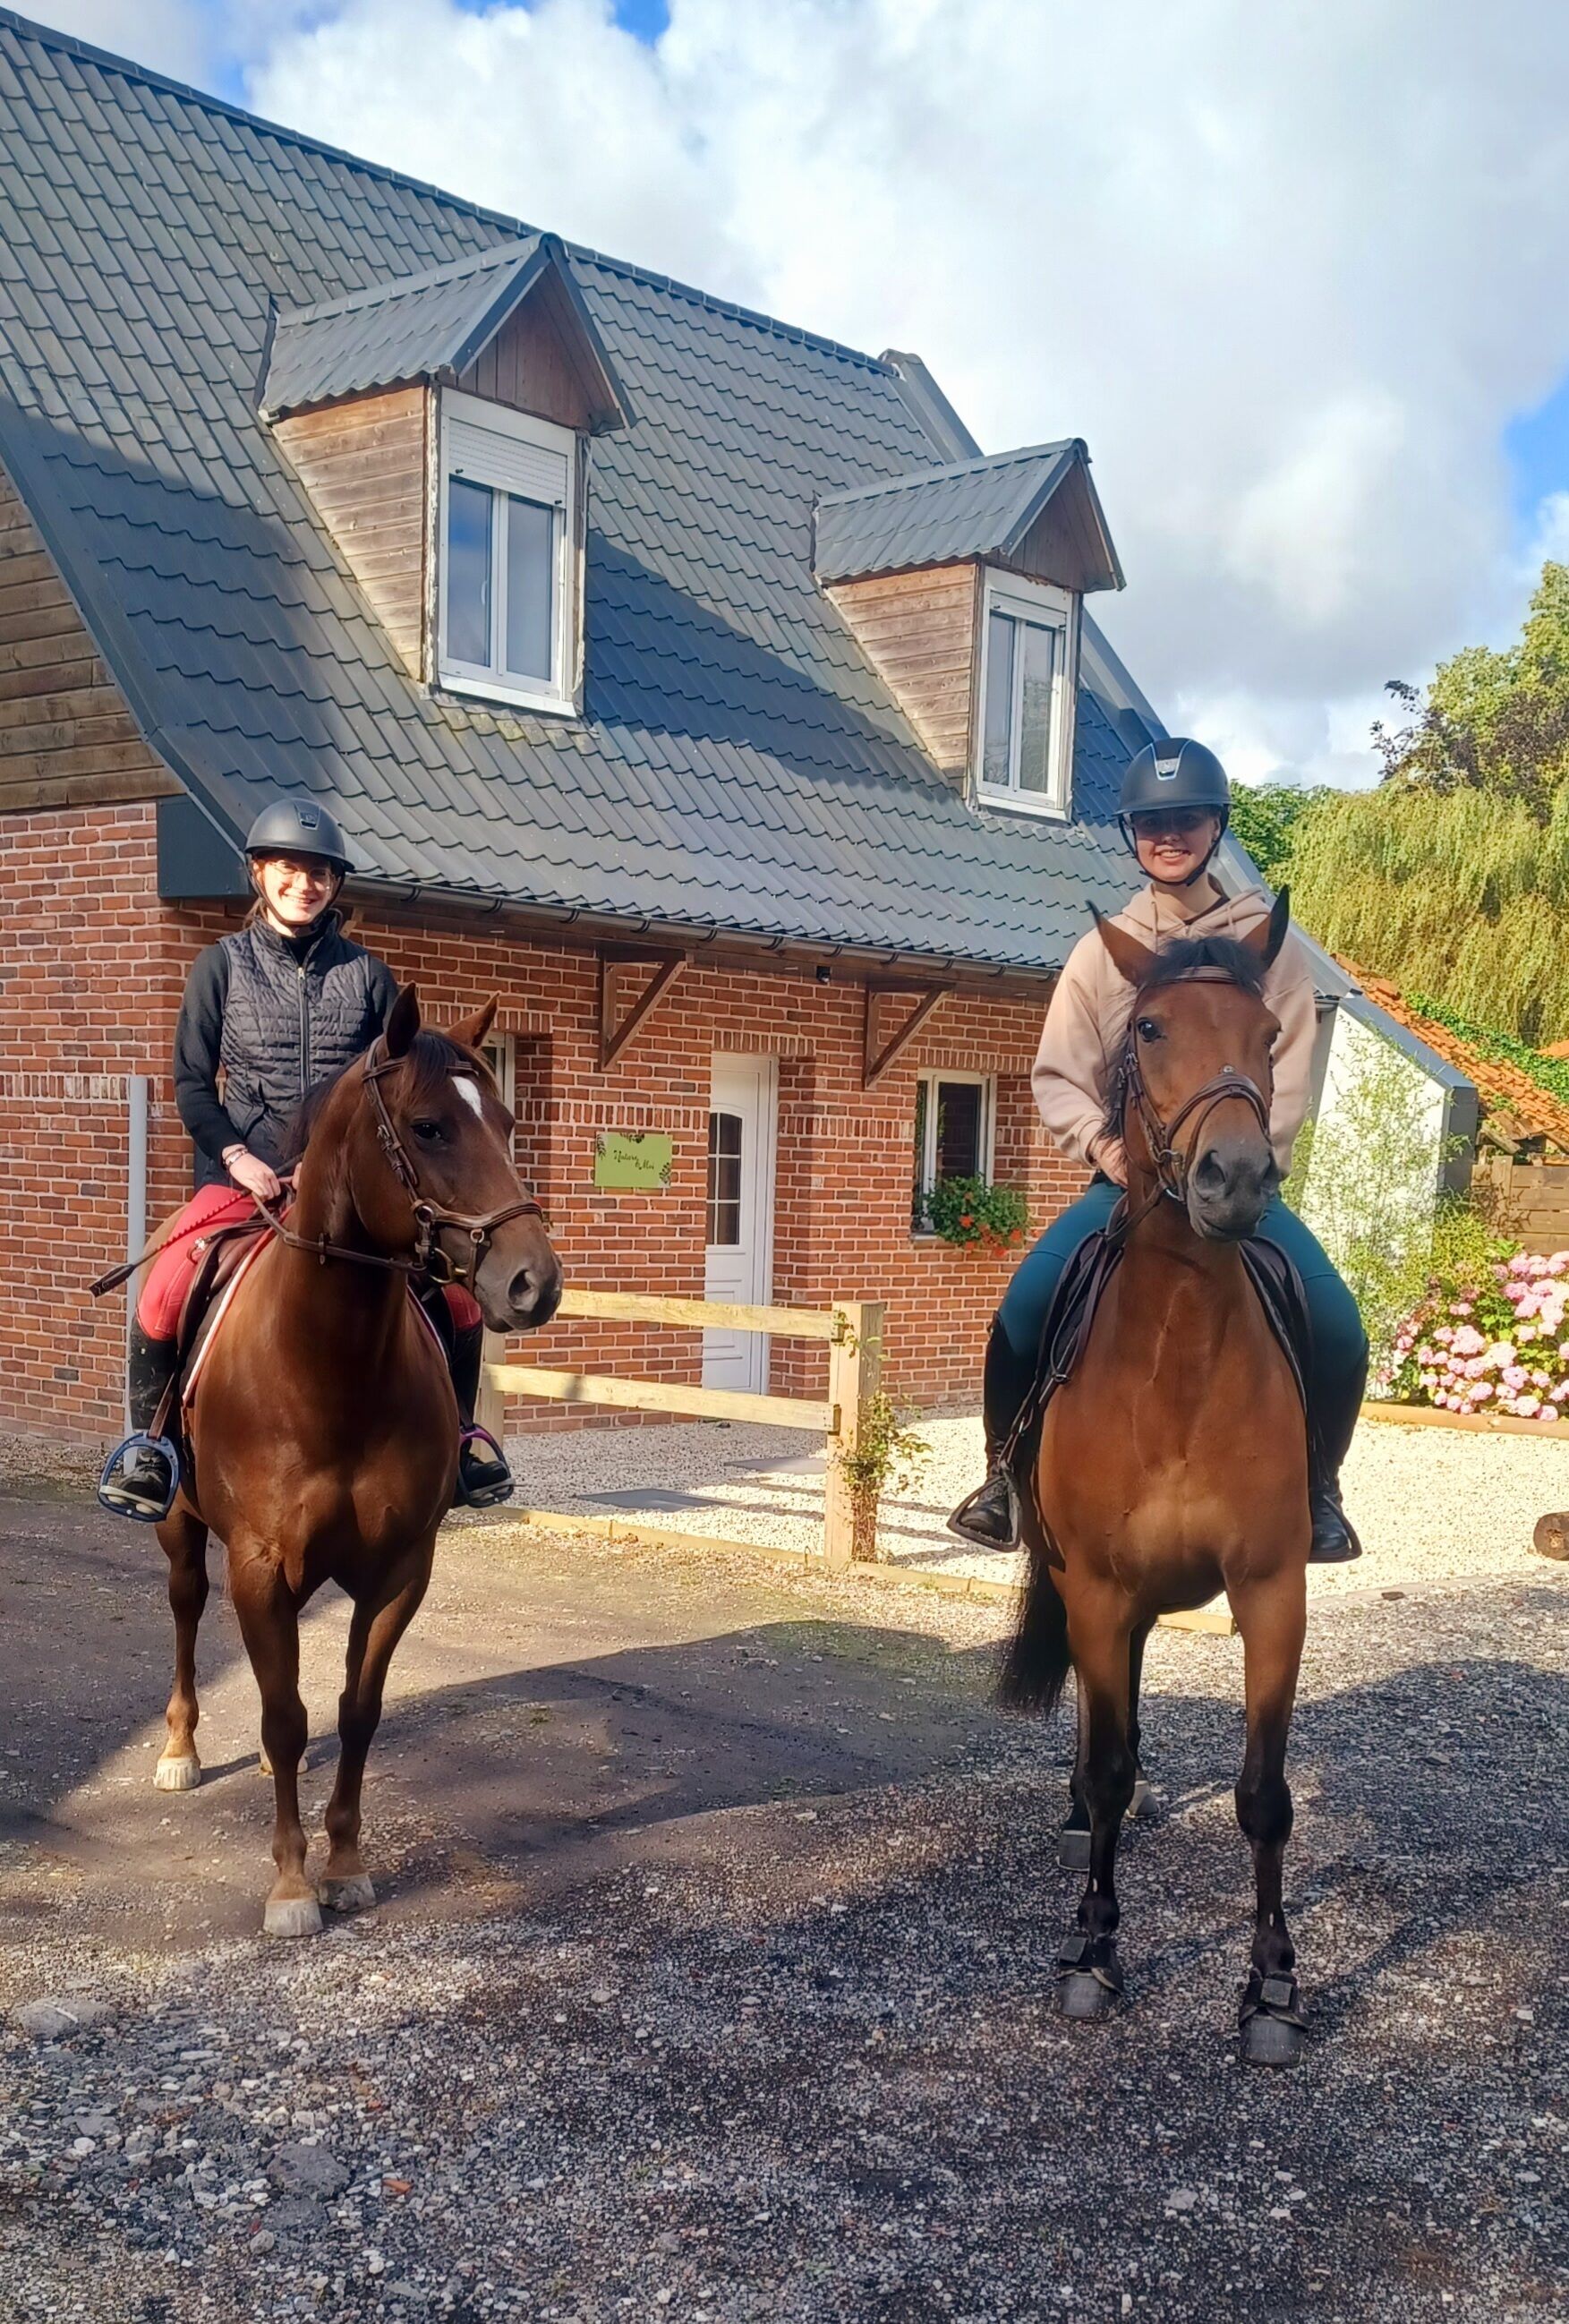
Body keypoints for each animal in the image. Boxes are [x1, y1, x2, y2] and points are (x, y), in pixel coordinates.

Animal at [150, 985, 562, 1938]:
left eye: (508, 1122)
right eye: (428, 1127)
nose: (535, 1284)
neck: (327, 1367)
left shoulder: (399, 1568)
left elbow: (352, 1711)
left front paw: (342, 1864)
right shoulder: (260, 1565)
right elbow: (283, 1715)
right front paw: (291, 1886)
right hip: (182, 1529)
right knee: (187, 1610)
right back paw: (180, 1748)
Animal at [1002, 891, 1315, 2065]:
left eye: (1268, 1036)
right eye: (1147, 1030)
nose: (1234, 1178)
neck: (1176, 1354)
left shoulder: (1273, 1591)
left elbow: (1263, 1795)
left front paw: (1270, 1987)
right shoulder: (1094, 1588)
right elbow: (1108, 1764)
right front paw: (1092, 1953)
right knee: (1106, 1743)